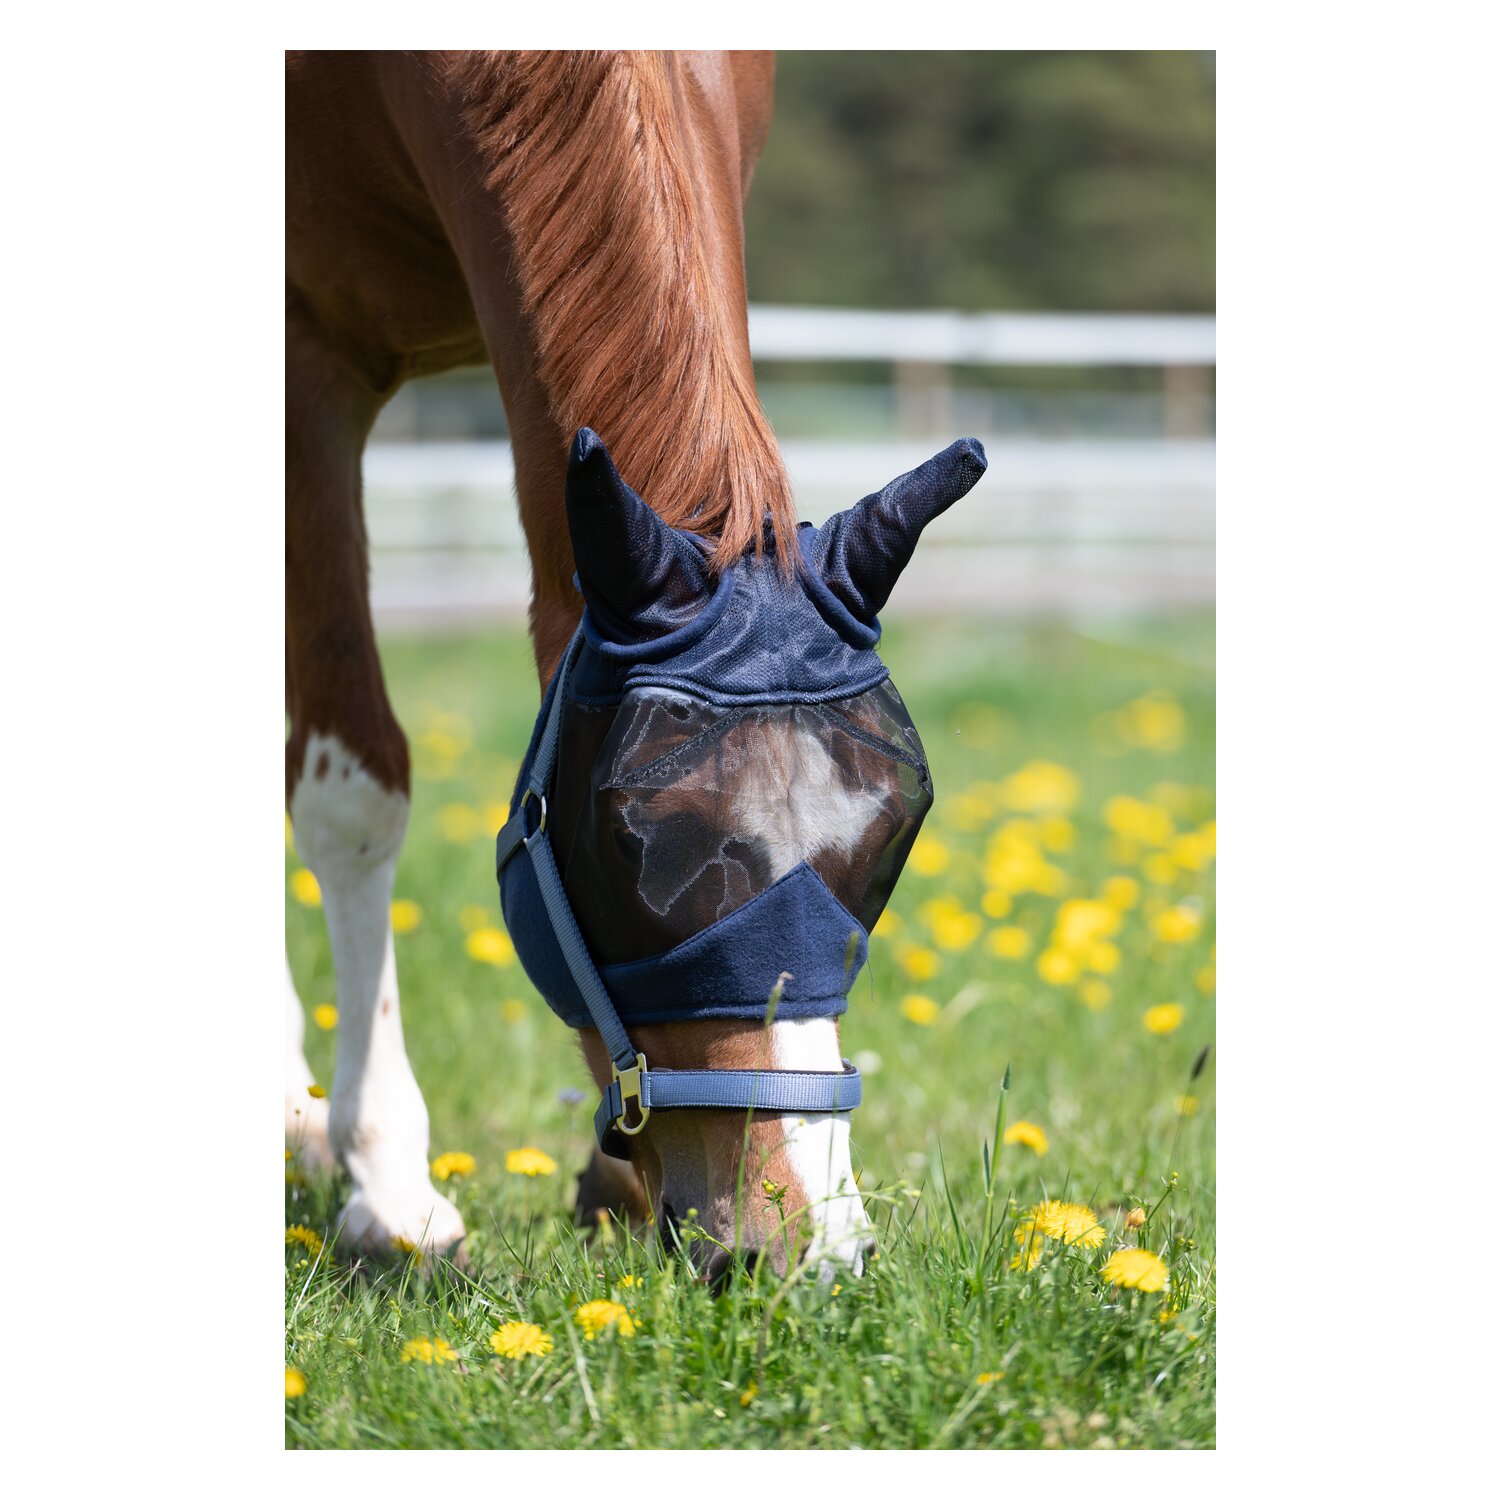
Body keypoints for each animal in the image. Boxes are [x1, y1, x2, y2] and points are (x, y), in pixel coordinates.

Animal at [285, 50, 986, 1279]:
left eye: (894, 833)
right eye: (628, 845)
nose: (802, 1247)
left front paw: (611, 1180)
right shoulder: (305, 351)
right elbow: (353, 791)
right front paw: (388, 1183)